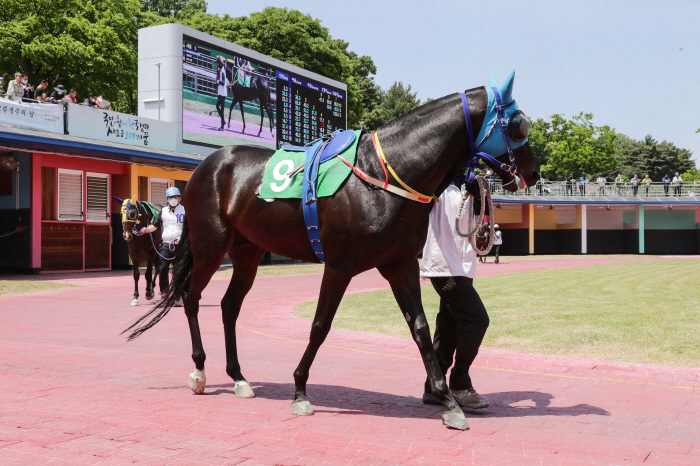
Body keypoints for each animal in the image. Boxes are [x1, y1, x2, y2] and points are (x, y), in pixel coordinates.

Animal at [126, 77, 540, 430]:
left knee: (229, 306)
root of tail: (206, 166)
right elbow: (320, 325)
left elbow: (421, 329)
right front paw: (299, 391)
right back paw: (199, 371)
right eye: (518, 125)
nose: (534, 173)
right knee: (191, 297)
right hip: (211, 246)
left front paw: (448, 401)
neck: (382, 175)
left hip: (248, 252)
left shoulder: (400, 264)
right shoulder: (340, 265)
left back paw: (239, 377)